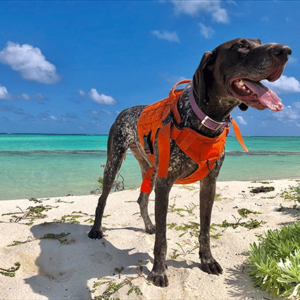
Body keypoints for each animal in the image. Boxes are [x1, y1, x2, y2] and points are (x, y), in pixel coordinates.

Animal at [88, 38, 290, 288]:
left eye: (259, 42)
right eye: (241, 46)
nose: (286, 51)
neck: (204, 119)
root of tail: (124, 111)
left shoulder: (209, 184)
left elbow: (205, 229)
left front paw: (207, 260)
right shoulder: (165, 184)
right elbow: (162, 239)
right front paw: (158, 271)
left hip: (149, 169)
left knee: (142, 199)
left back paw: (148, 225)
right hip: (114, 161)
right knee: (102, 199)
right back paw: (96, 229)